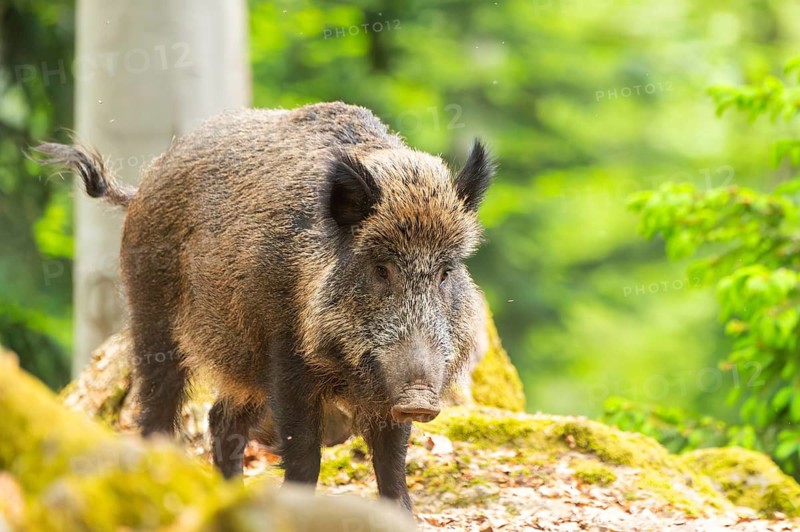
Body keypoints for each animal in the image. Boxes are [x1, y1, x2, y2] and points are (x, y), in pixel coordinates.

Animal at [35, 102, 494, 511]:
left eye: (446, 272)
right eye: (381, 269)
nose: (420, 398)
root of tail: (142, 186)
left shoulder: (382, 389)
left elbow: (391, 462)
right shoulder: (285, 356)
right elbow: (304, 455)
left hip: (244, 360)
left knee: (221, 421)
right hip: (152, 315)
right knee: (158, 410)